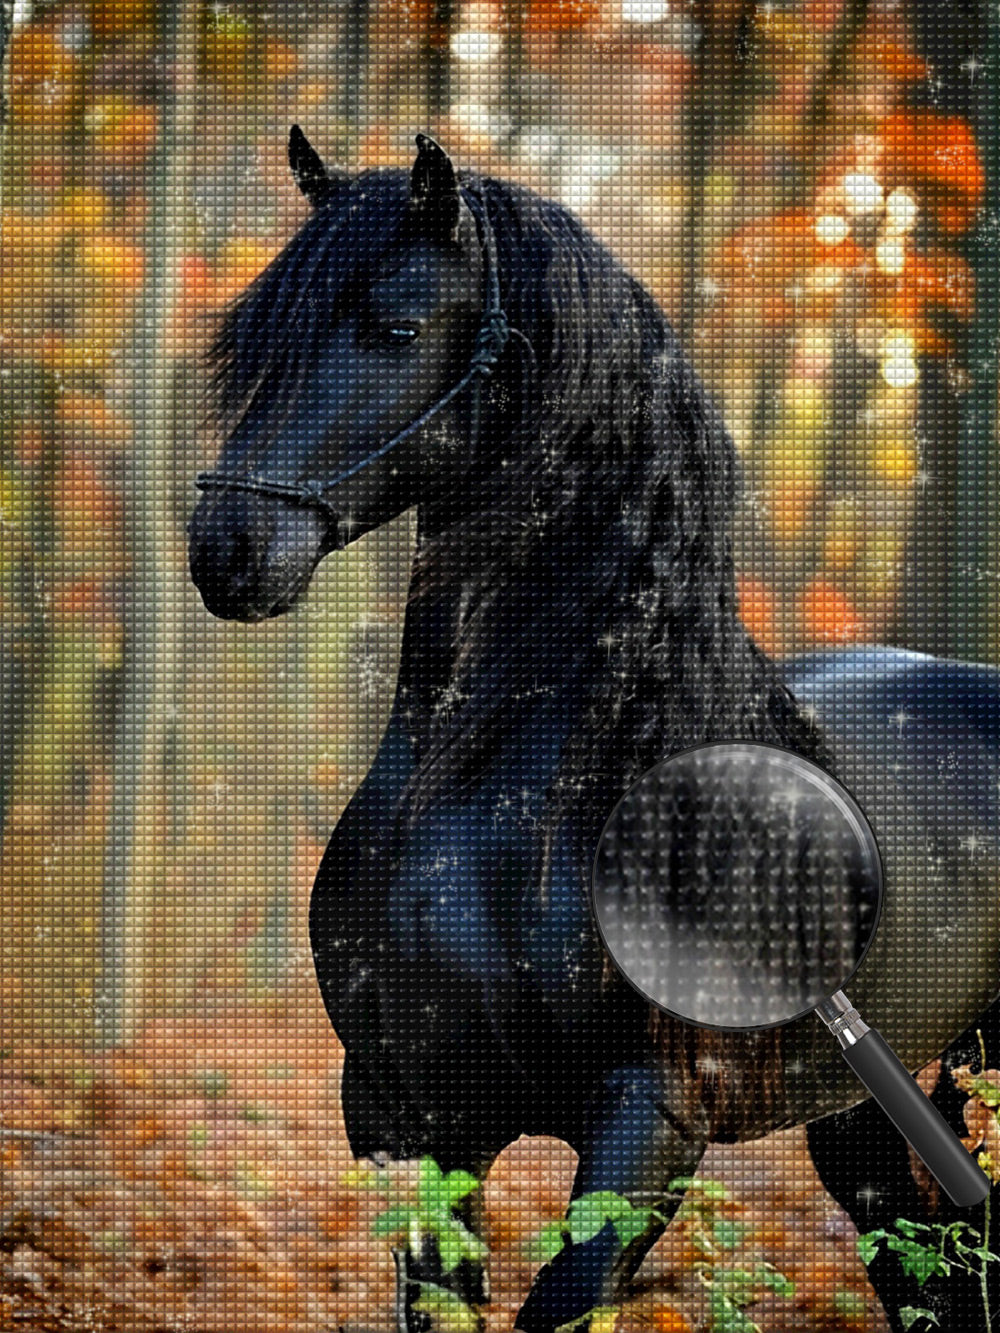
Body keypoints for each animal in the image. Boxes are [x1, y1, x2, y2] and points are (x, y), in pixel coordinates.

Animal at [187, 130, 1000, 1333]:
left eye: (395, 326)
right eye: (255, 342)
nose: (227, 548)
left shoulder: (647, 1121)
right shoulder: (406, 1118)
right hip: (866, 1112)